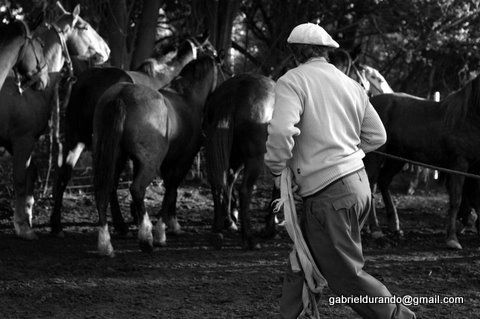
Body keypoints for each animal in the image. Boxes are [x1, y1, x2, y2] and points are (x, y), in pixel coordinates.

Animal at [0, 4, 109, 240]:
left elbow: (31, 175)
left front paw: (26, 217)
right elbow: (20, 179)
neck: (27, 92)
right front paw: (23, 226)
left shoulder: (18, 143)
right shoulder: (22, 141)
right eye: (84, 26)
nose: (107, 50)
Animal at [92, 53, 219, 256]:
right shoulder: (183, 160)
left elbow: (171, 191)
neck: (187, 98)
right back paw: (146, 237)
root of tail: (121, 95)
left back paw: (106, 244)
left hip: (112, 156)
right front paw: (161, 232)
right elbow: (171, 190)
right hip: (150, 164)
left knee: (104, 189)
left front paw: (172, 225)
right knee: (137, 189)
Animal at [203, 74, 278, 250]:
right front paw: (270, 229)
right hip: (253, 158)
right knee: (244, 190)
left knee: (222, 184)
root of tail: (235, 90)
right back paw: (249, 238)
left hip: (230, 156)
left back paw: (220, 228)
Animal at [366, 75, 480, 250]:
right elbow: (456, 199)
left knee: (383, 181)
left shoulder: (474, 168)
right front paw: (452, 238)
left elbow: (475, 198)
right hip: (377, 155)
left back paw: (394, 226)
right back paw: (375, 229)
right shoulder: (459, 164)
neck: (468, 116)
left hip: (397, 157)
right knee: (371, 184)